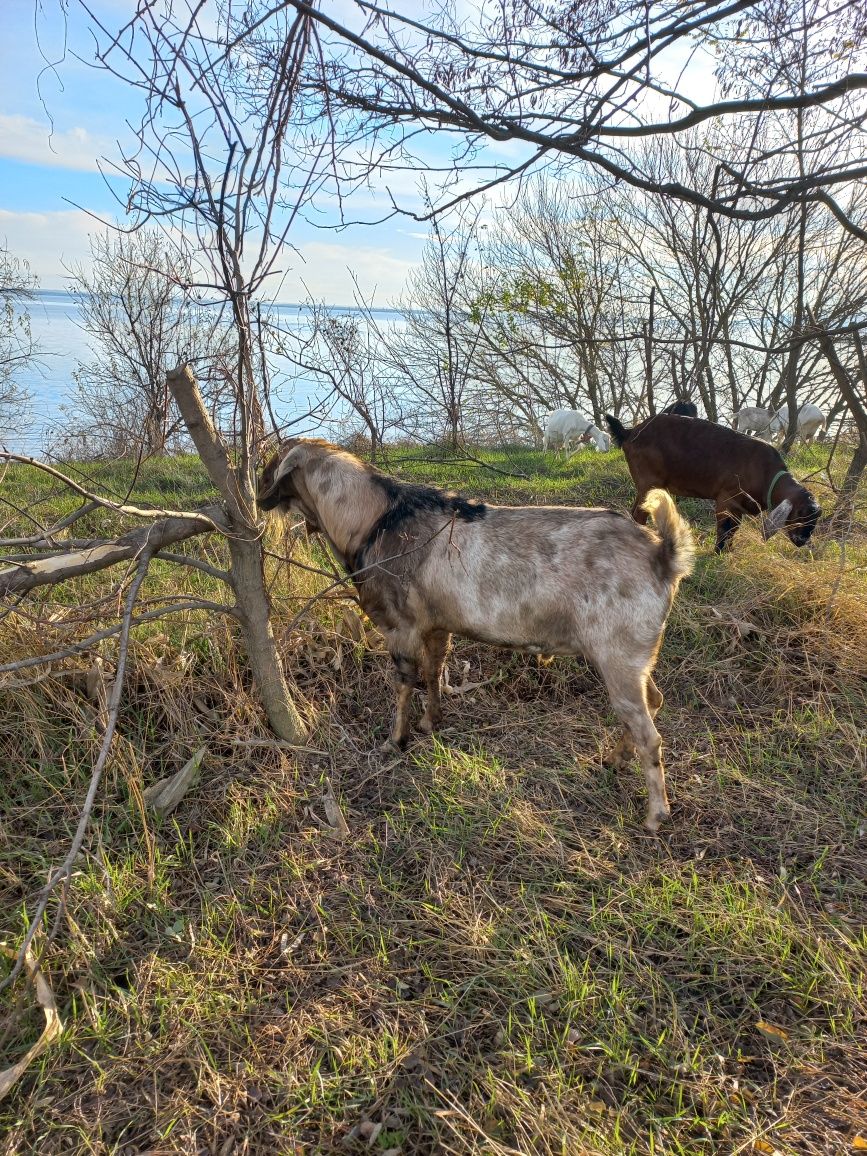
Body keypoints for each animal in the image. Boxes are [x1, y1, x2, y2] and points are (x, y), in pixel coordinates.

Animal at [257, 434, 698, 832]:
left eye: (271, 464)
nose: (259, 500)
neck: (374, 520)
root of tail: (663, 556)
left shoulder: (400, 625)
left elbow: (404, 682)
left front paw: (395, 740)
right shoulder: (436, 625)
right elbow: (433, 671)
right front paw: (430, 723)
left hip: (618, 655)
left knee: (648, 731)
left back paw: (655, 815)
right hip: (632, 657)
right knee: (651, 703)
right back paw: (614, 760)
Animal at [605, 413, 823, 552]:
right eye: (801, 513)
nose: (802, 541)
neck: (767, 473)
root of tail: (631, 432)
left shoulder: (739, 506)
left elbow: (733, 529)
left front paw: (729, 551)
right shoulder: (727, 499)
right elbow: (725, 528)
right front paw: (718, 552)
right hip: (649, 482)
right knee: (638, 513)